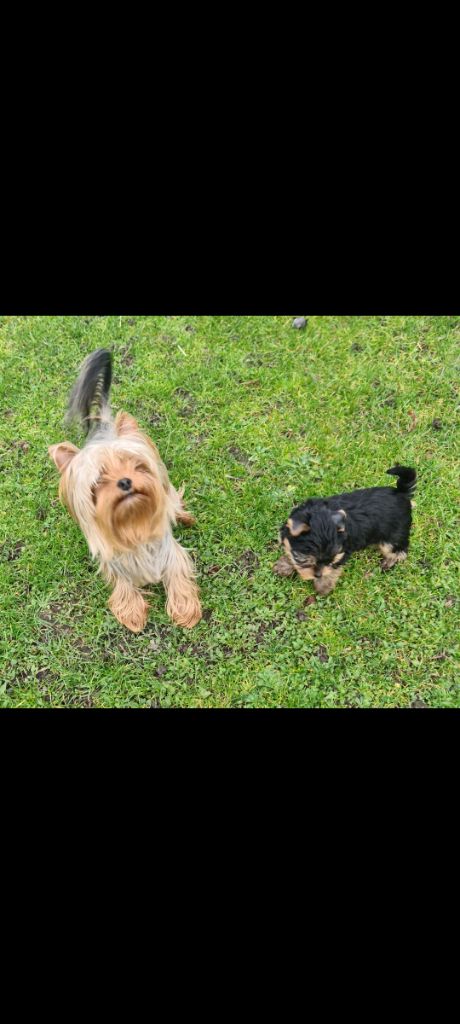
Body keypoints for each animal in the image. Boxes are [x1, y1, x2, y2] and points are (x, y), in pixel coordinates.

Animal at [48, 352, 202, 630]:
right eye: (99, 480)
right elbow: (123, 585)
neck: (133, 523)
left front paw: (186, 612)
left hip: (170, 493)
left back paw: (185, 517)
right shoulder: (115, 564)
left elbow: (178, 574)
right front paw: (132, 613)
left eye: (136, 465)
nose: (125, 482)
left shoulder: (170, 553)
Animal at [272, 462, 415, 593]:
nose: (318, 575)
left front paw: (323, 586)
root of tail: (401, 493)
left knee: (399, 549)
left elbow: (333, 570)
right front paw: (285, 565)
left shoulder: (343, 552)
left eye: (330, 561)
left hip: (394, 534)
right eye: (306, 560)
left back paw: (389, 561)